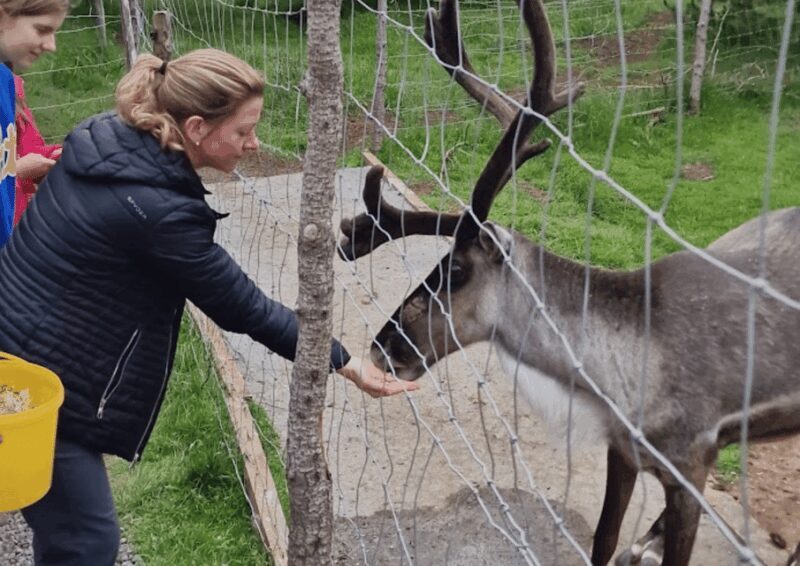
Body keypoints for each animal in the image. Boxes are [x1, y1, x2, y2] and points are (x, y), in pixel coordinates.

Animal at [337, 0, 800, 564]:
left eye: (456, 272)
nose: (382, 347)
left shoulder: (688, 467)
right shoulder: (623, 451)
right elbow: (602, 539)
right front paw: (630, 543)